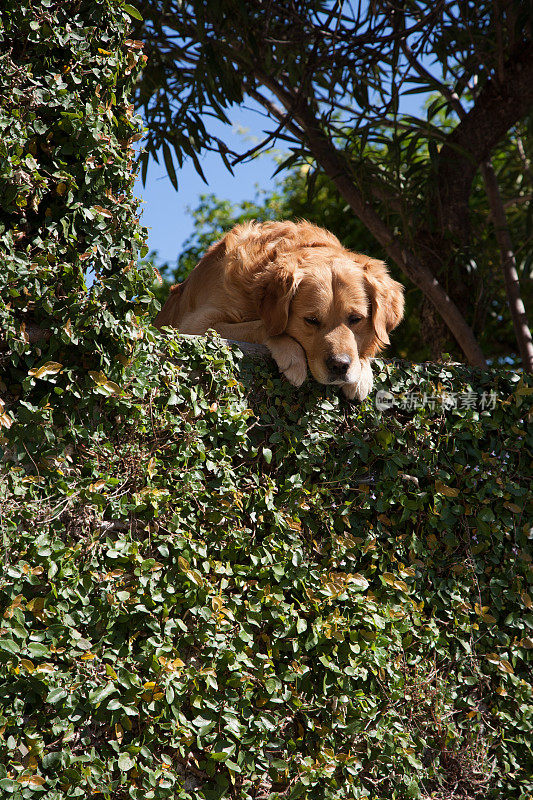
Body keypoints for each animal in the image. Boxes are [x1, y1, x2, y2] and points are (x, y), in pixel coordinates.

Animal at [154, 220, 404, 398]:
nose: (339, 366)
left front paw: (363, 371)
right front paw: (292, 356)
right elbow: (264, 326)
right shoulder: (195, 325)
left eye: (356, 319)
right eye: (311, 320)